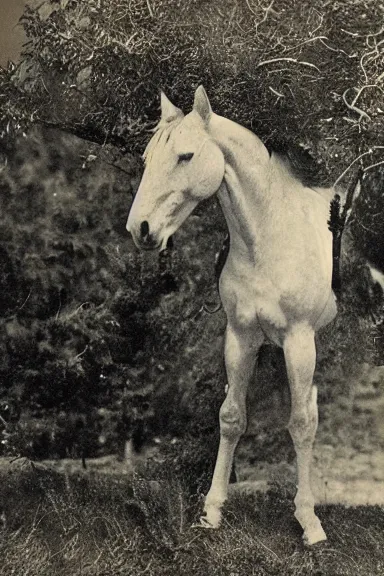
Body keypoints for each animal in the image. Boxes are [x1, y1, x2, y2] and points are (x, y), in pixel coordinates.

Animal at [126, 85, 336, 544]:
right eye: (147, 159)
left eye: (185, 156)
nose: (141, 229)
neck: (272, 234)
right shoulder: (241, 336)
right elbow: (232, 417)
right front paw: (212, 510)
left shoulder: (299, 341)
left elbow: (299, 423)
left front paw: (309, 522)